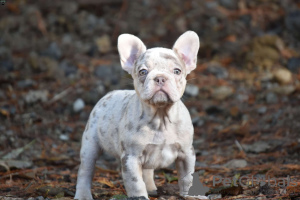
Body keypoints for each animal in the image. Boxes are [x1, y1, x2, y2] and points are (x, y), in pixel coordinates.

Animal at [74, 30, 200, 199]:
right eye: (143, 72)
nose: (160, 78)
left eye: (177, 71)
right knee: (85, 170)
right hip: (90, 144)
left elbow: (188, 177)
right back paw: (83, 194)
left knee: (147, 171)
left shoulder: (187, 153)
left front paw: (192, 195)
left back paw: (151, 188)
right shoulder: (131, 158)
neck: (160, 117)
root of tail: (109, 94)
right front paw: (140, 196)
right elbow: (135, 182)